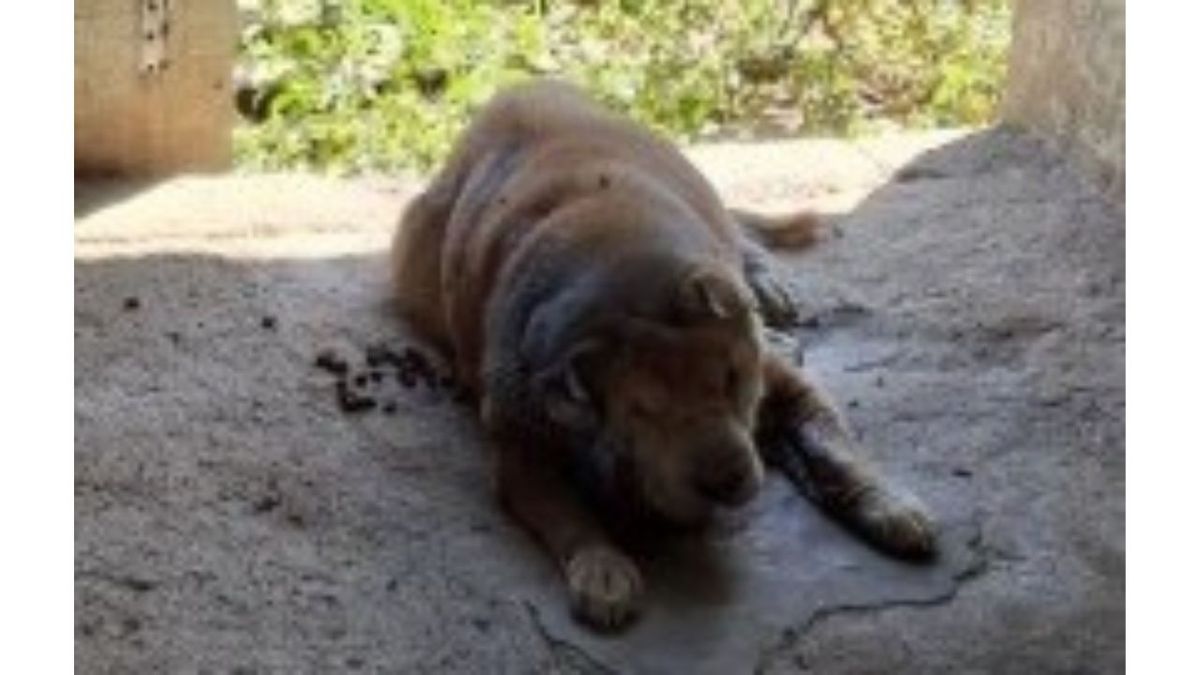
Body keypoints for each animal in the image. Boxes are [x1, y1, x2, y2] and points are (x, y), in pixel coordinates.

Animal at [391, 79, 935, 630]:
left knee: (738, 237)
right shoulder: (521, 444)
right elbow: (565, 514)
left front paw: (887, 503)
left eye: (733, 379)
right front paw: (602, 569)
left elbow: (834, 448)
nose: (725, 480)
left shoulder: (786, 388)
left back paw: (765, 286)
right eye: (643, 410)